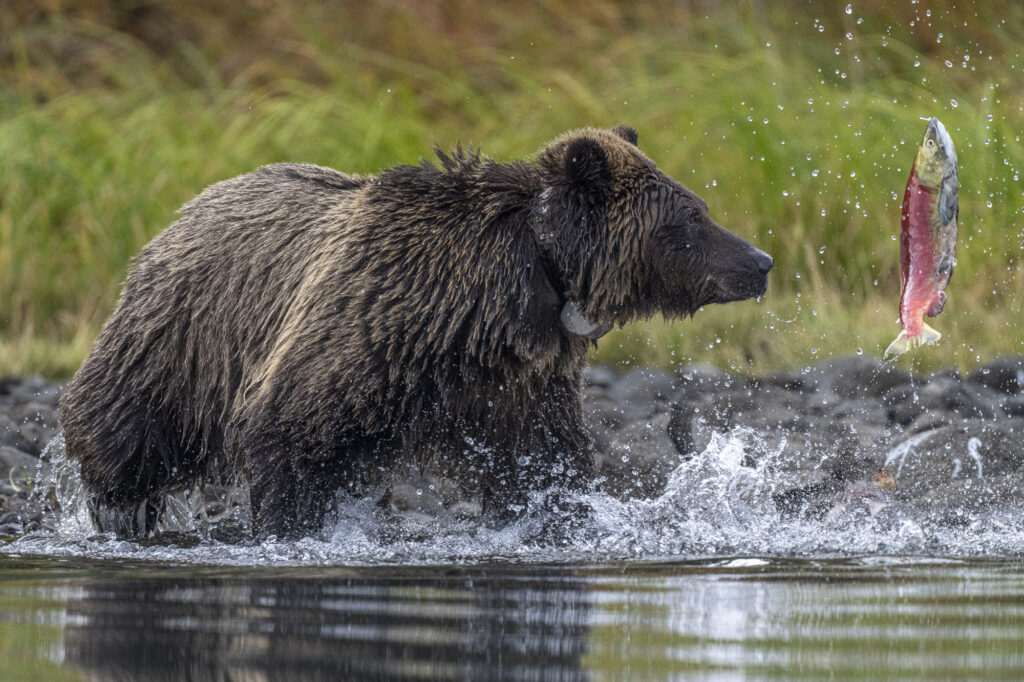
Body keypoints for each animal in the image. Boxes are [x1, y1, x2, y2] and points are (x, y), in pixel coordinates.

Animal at [59, 125, 773, 539]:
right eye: (690, 219)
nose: (759, 261)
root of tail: (188, 207)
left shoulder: (514, 381)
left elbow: (545, 458)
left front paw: (557, 516)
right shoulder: (367, 327)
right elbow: (286, 428)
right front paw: (289, 527)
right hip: (180, 336)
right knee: (124, 427)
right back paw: (119, 512)